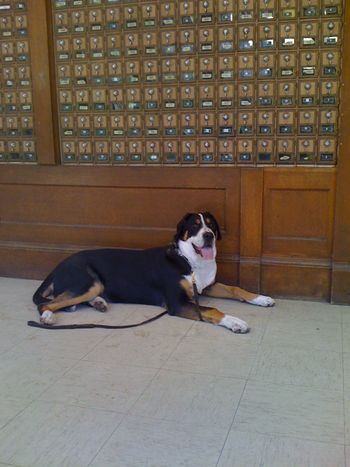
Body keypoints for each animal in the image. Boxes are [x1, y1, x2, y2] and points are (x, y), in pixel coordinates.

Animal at [32, 212, 274, 332]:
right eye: (195, 225)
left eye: (211, 224)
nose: (209, 236)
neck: (189, 261)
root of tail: (59, 265)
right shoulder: (177, 303)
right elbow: (212, 309)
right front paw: (235, 322)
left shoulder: (206, 286)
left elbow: (235, 289)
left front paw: (261, 298)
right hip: (89, 282)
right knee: (46, 303)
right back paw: (47, 317)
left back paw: (99, 303)